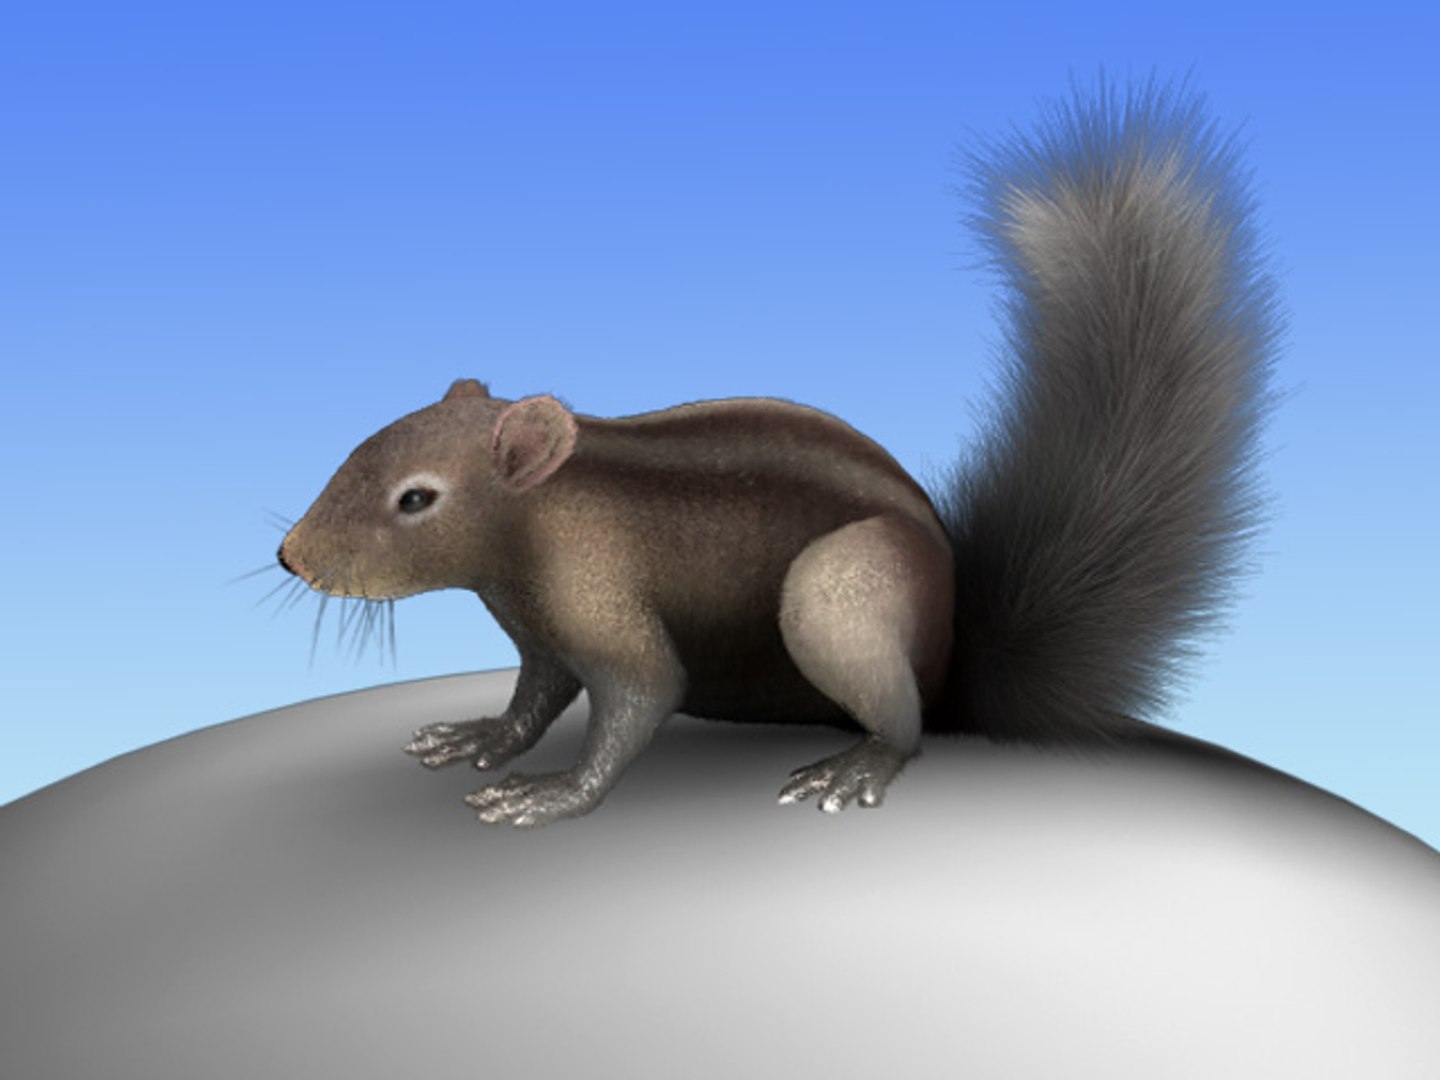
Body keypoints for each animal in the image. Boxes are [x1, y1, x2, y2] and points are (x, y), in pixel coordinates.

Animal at [277, 80, 1278, 827]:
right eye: (360, 445)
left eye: (416, 499)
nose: (290, 557)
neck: (535, 525)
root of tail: (951, 662)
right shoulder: (540, 630)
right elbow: (535, 696)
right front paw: (483, 739)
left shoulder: (595, 593)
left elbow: (641, 694)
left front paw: (554, 793)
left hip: (837, 596)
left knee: (906, 726)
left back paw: (854, 766)